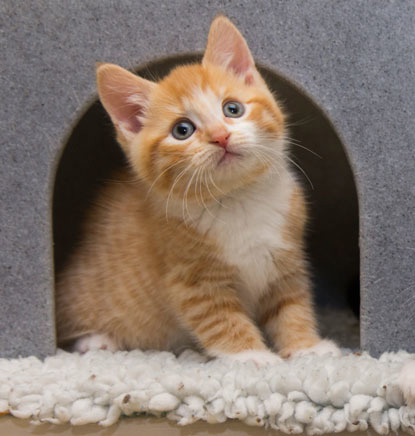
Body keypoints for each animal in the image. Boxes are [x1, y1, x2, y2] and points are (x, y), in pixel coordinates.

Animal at [55, 15, 340, 364]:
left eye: (232, 109)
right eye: (182, 130)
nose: (220, 136)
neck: (239, 200)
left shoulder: (286, 262)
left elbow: (292, 307)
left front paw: (306, 348)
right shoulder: (194, 282)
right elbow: (222, 320)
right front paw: (252, 356)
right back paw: (97, 341)